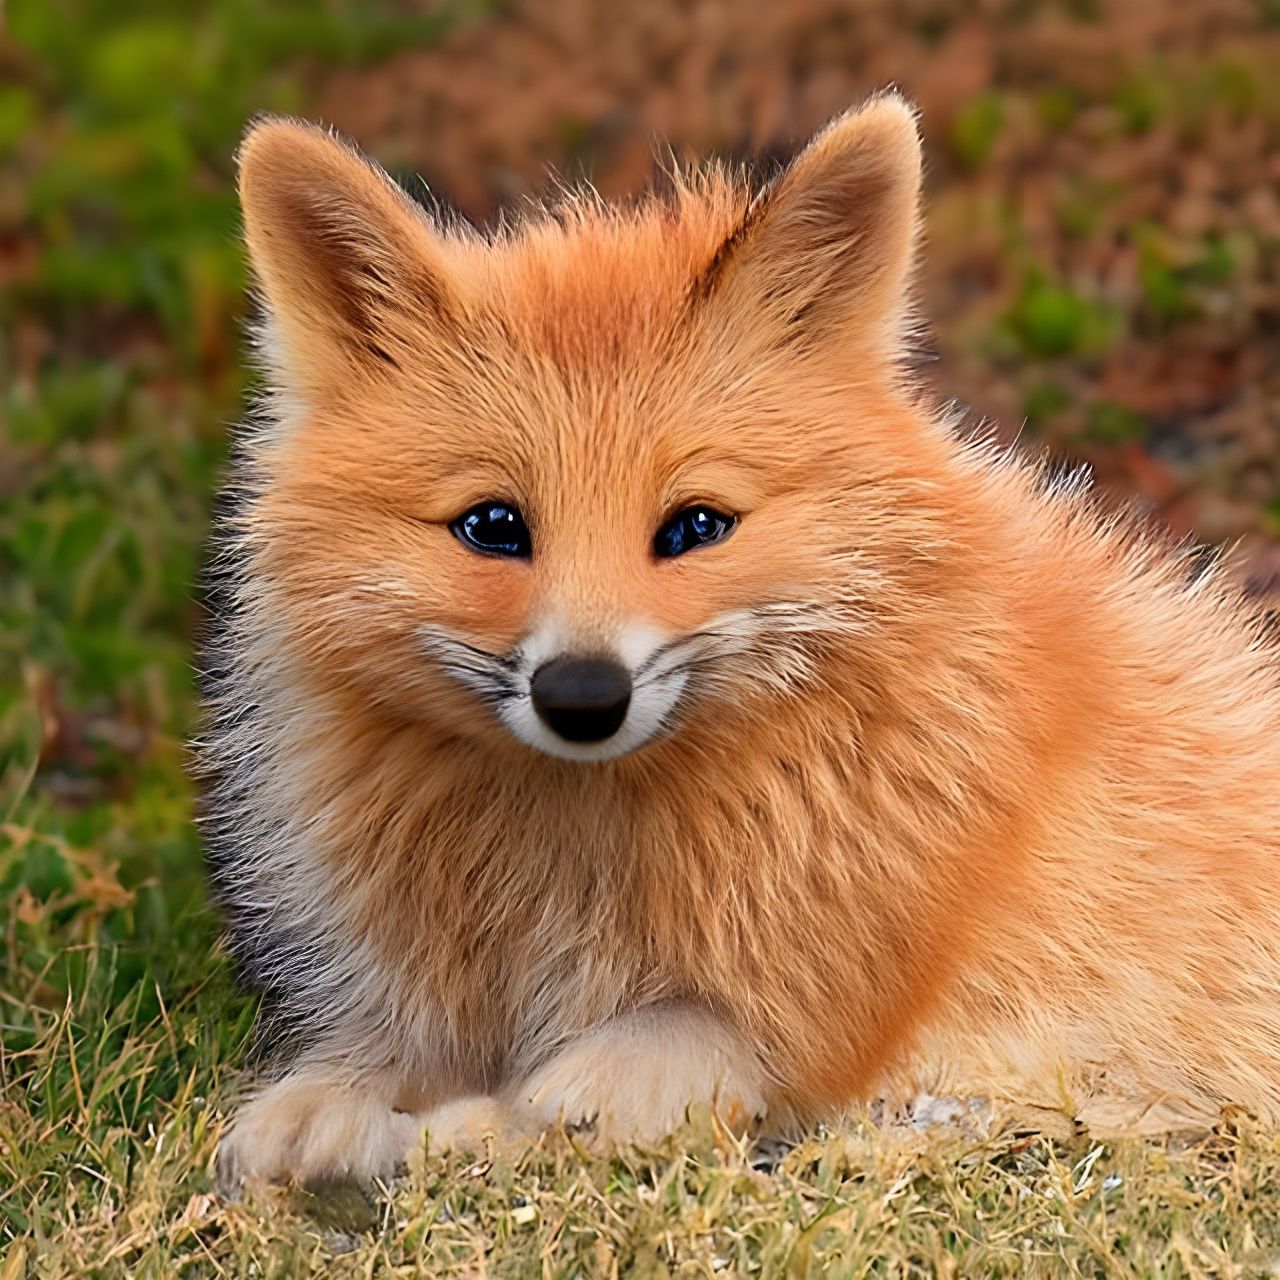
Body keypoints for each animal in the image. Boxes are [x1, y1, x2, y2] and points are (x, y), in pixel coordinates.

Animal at [203, 92, 1280, 1190]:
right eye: (493, 526)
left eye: (695, 526)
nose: (582, 695)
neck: (574, 869)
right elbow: (371, 1063)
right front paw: (318, 1116)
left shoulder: (787, 1032)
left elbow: (564, 1105)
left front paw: (433, 1138)